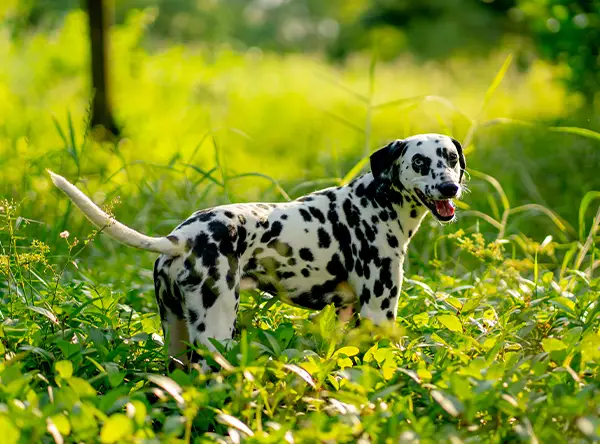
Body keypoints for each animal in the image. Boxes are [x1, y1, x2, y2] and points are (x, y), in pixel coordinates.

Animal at [49, 134, 466, 370]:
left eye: (451, 159)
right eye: (419, 162)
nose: (450, 187)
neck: (376, 201)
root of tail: (182, 237)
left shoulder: (347, 315)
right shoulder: (380, 312)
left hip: (177, 339)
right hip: (216, 333)